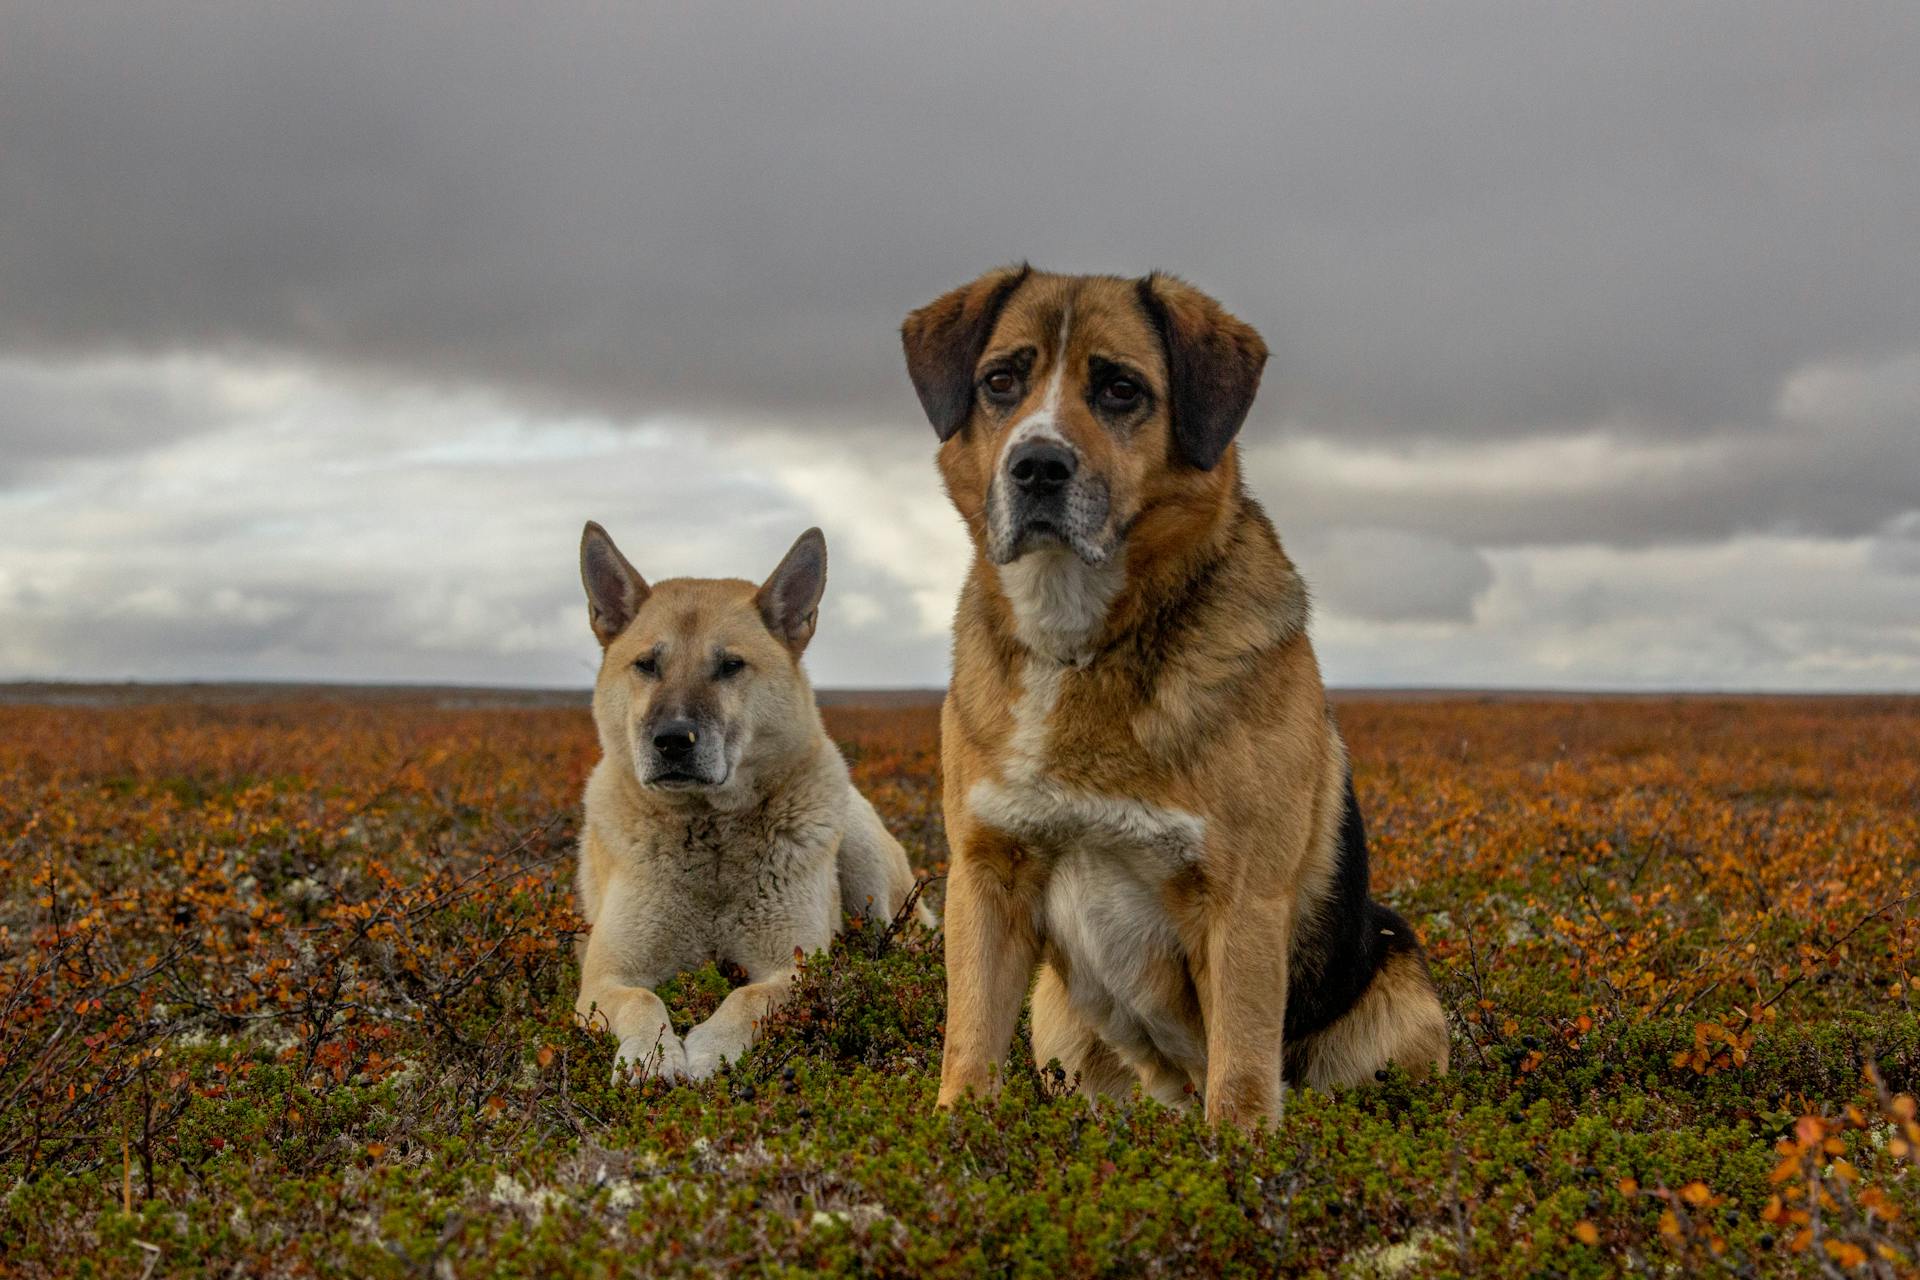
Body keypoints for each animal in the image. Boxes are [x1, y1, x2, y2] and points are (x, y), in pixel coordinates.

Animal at [568, 521, 929, 1082]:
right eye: (646, 665)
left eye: (731, 666)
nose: (672, 741)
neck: (710, 836)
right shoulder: (607, 977)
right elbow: (643, 1001)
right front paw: (651, 1056)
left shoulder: (791, 967)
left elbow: (748, 997)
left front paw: (710, 1049)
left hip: (868, 866)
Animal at [898, 264, 1443, 1128]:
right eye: (1000, 381)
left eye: (1122, 388)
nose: (1037, 466)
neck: (1080, 644)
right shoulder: (986, 876)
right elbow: (971, 1043)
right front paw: (956, 1132)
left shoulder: (1241, 903)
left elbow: (1243, 1077)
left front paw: (1240, 1153)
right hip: (1057, 1017)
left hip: (1401, 994)